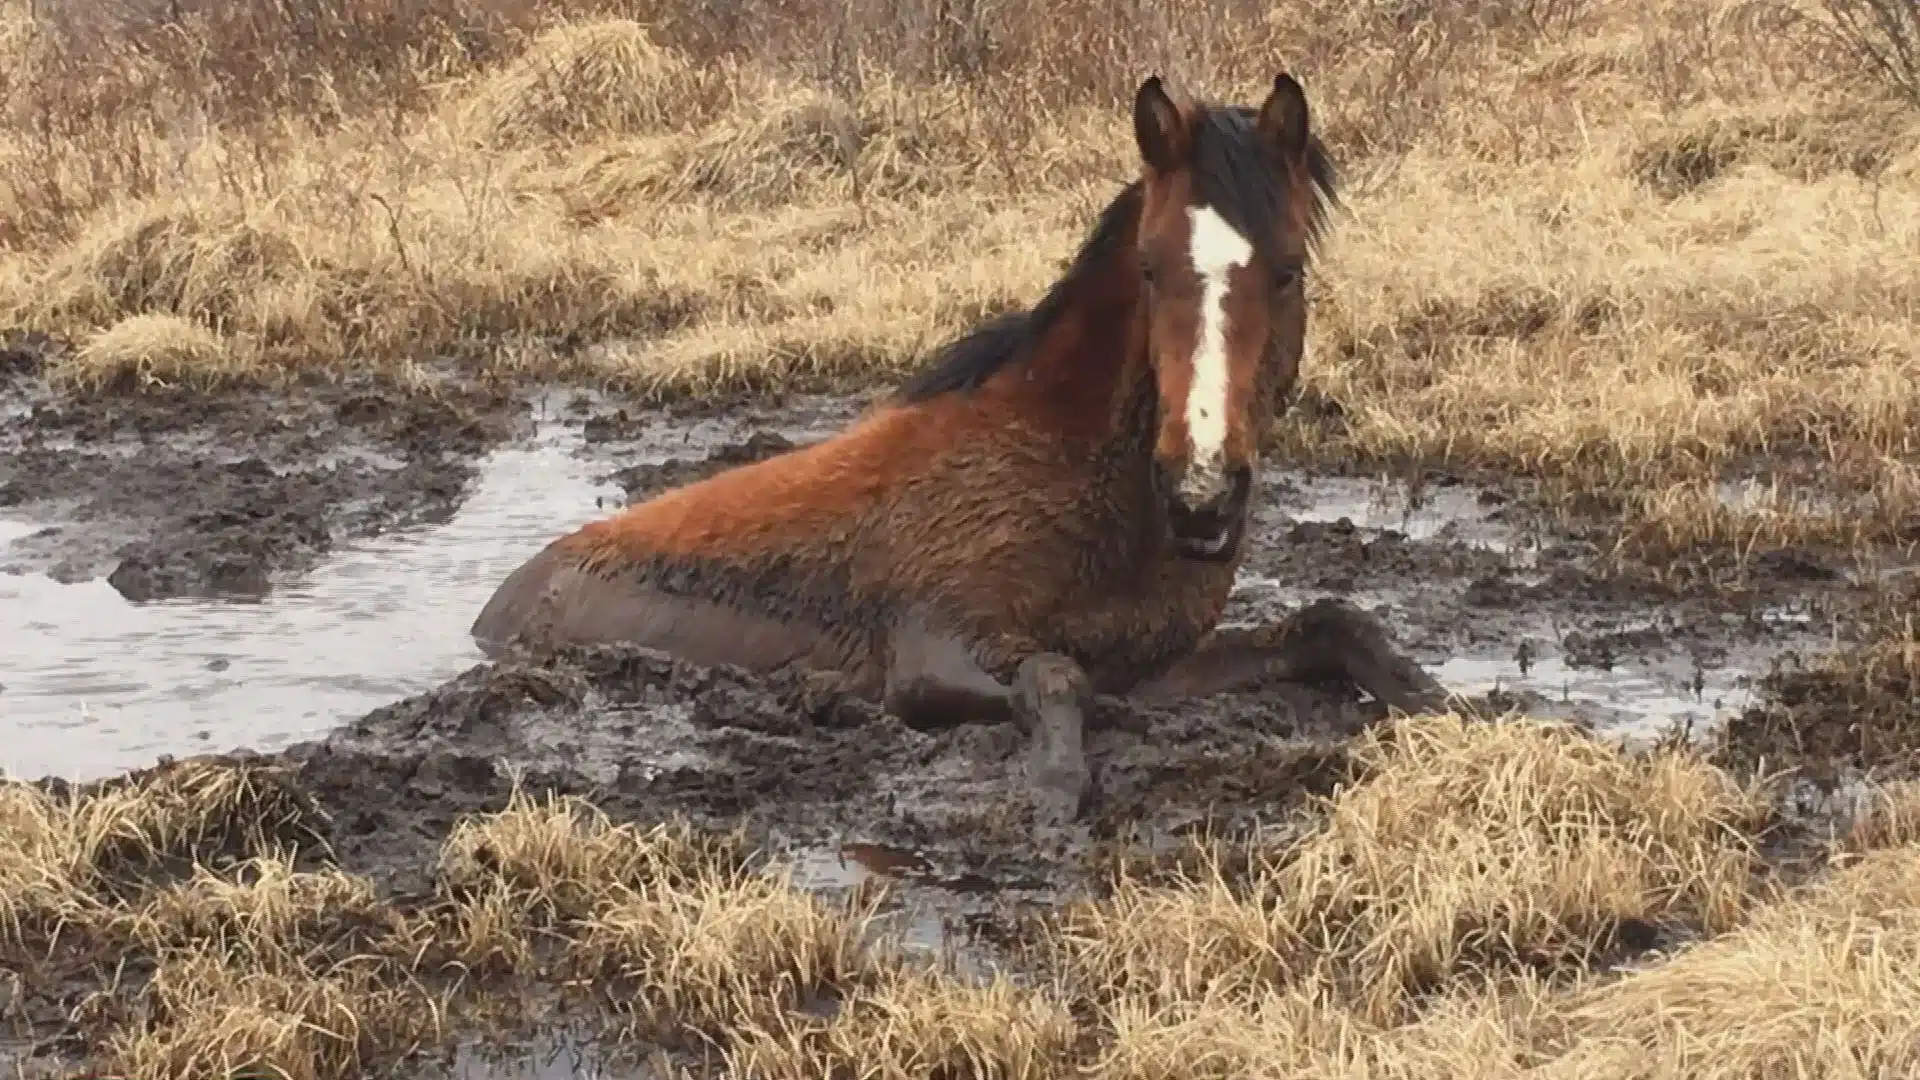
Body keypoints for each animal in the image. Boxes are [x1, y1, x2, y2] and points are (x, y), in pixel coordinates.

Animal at [472, 73, 1443, 814]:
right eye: (1150, 267)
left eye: (1287, 271)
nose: (1201, 497)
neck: (1066, 475)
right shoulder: (936, 645)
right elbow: (1057, 678)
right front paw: (1054, 788)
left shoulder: (1157, 661)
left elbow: (1332, 626)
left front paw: (1440, 701)